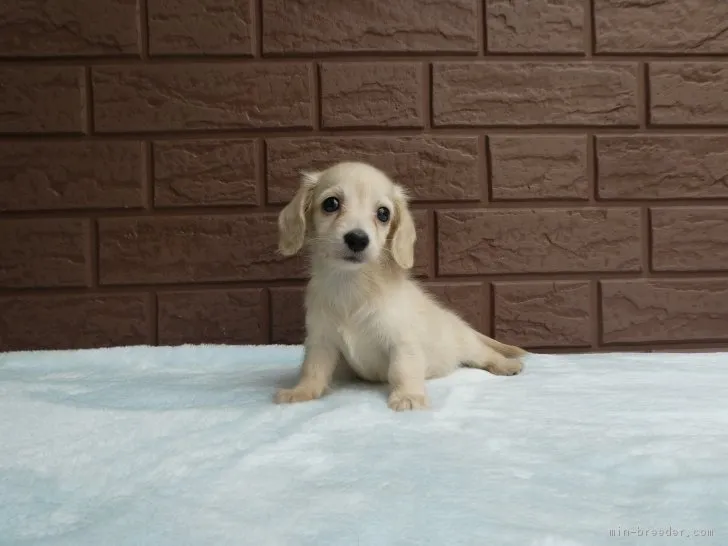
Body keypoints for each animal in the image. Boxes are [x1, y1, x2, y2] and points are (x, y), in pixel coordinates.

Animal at [276, 160, 528, 408]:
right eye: (331, 203)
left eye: (383, 213)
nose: (357, 239)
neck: (352, 284)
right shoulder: (321, 341)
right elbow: (313, 370)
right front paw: (301, 391)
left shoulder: (402, 343)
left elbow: (402, 371)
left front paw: (408, 396)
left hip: (468, 345)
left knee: (486, 354)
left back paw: (506, 365)